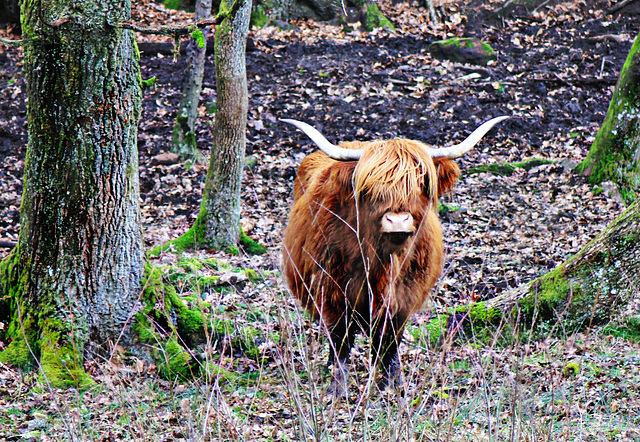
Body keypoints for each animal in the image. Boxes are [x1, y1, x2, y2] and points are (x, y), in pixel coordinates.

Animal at [282, 116, 508, 394]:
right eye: (370, 187)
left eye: (421, 183)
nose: (397, 221)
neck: (380, 263)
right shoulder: (333, 293)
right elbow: (340, 339)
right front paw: (338, 385)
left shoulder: (404, 297)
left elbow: (390, 340)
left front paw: (393, 382)